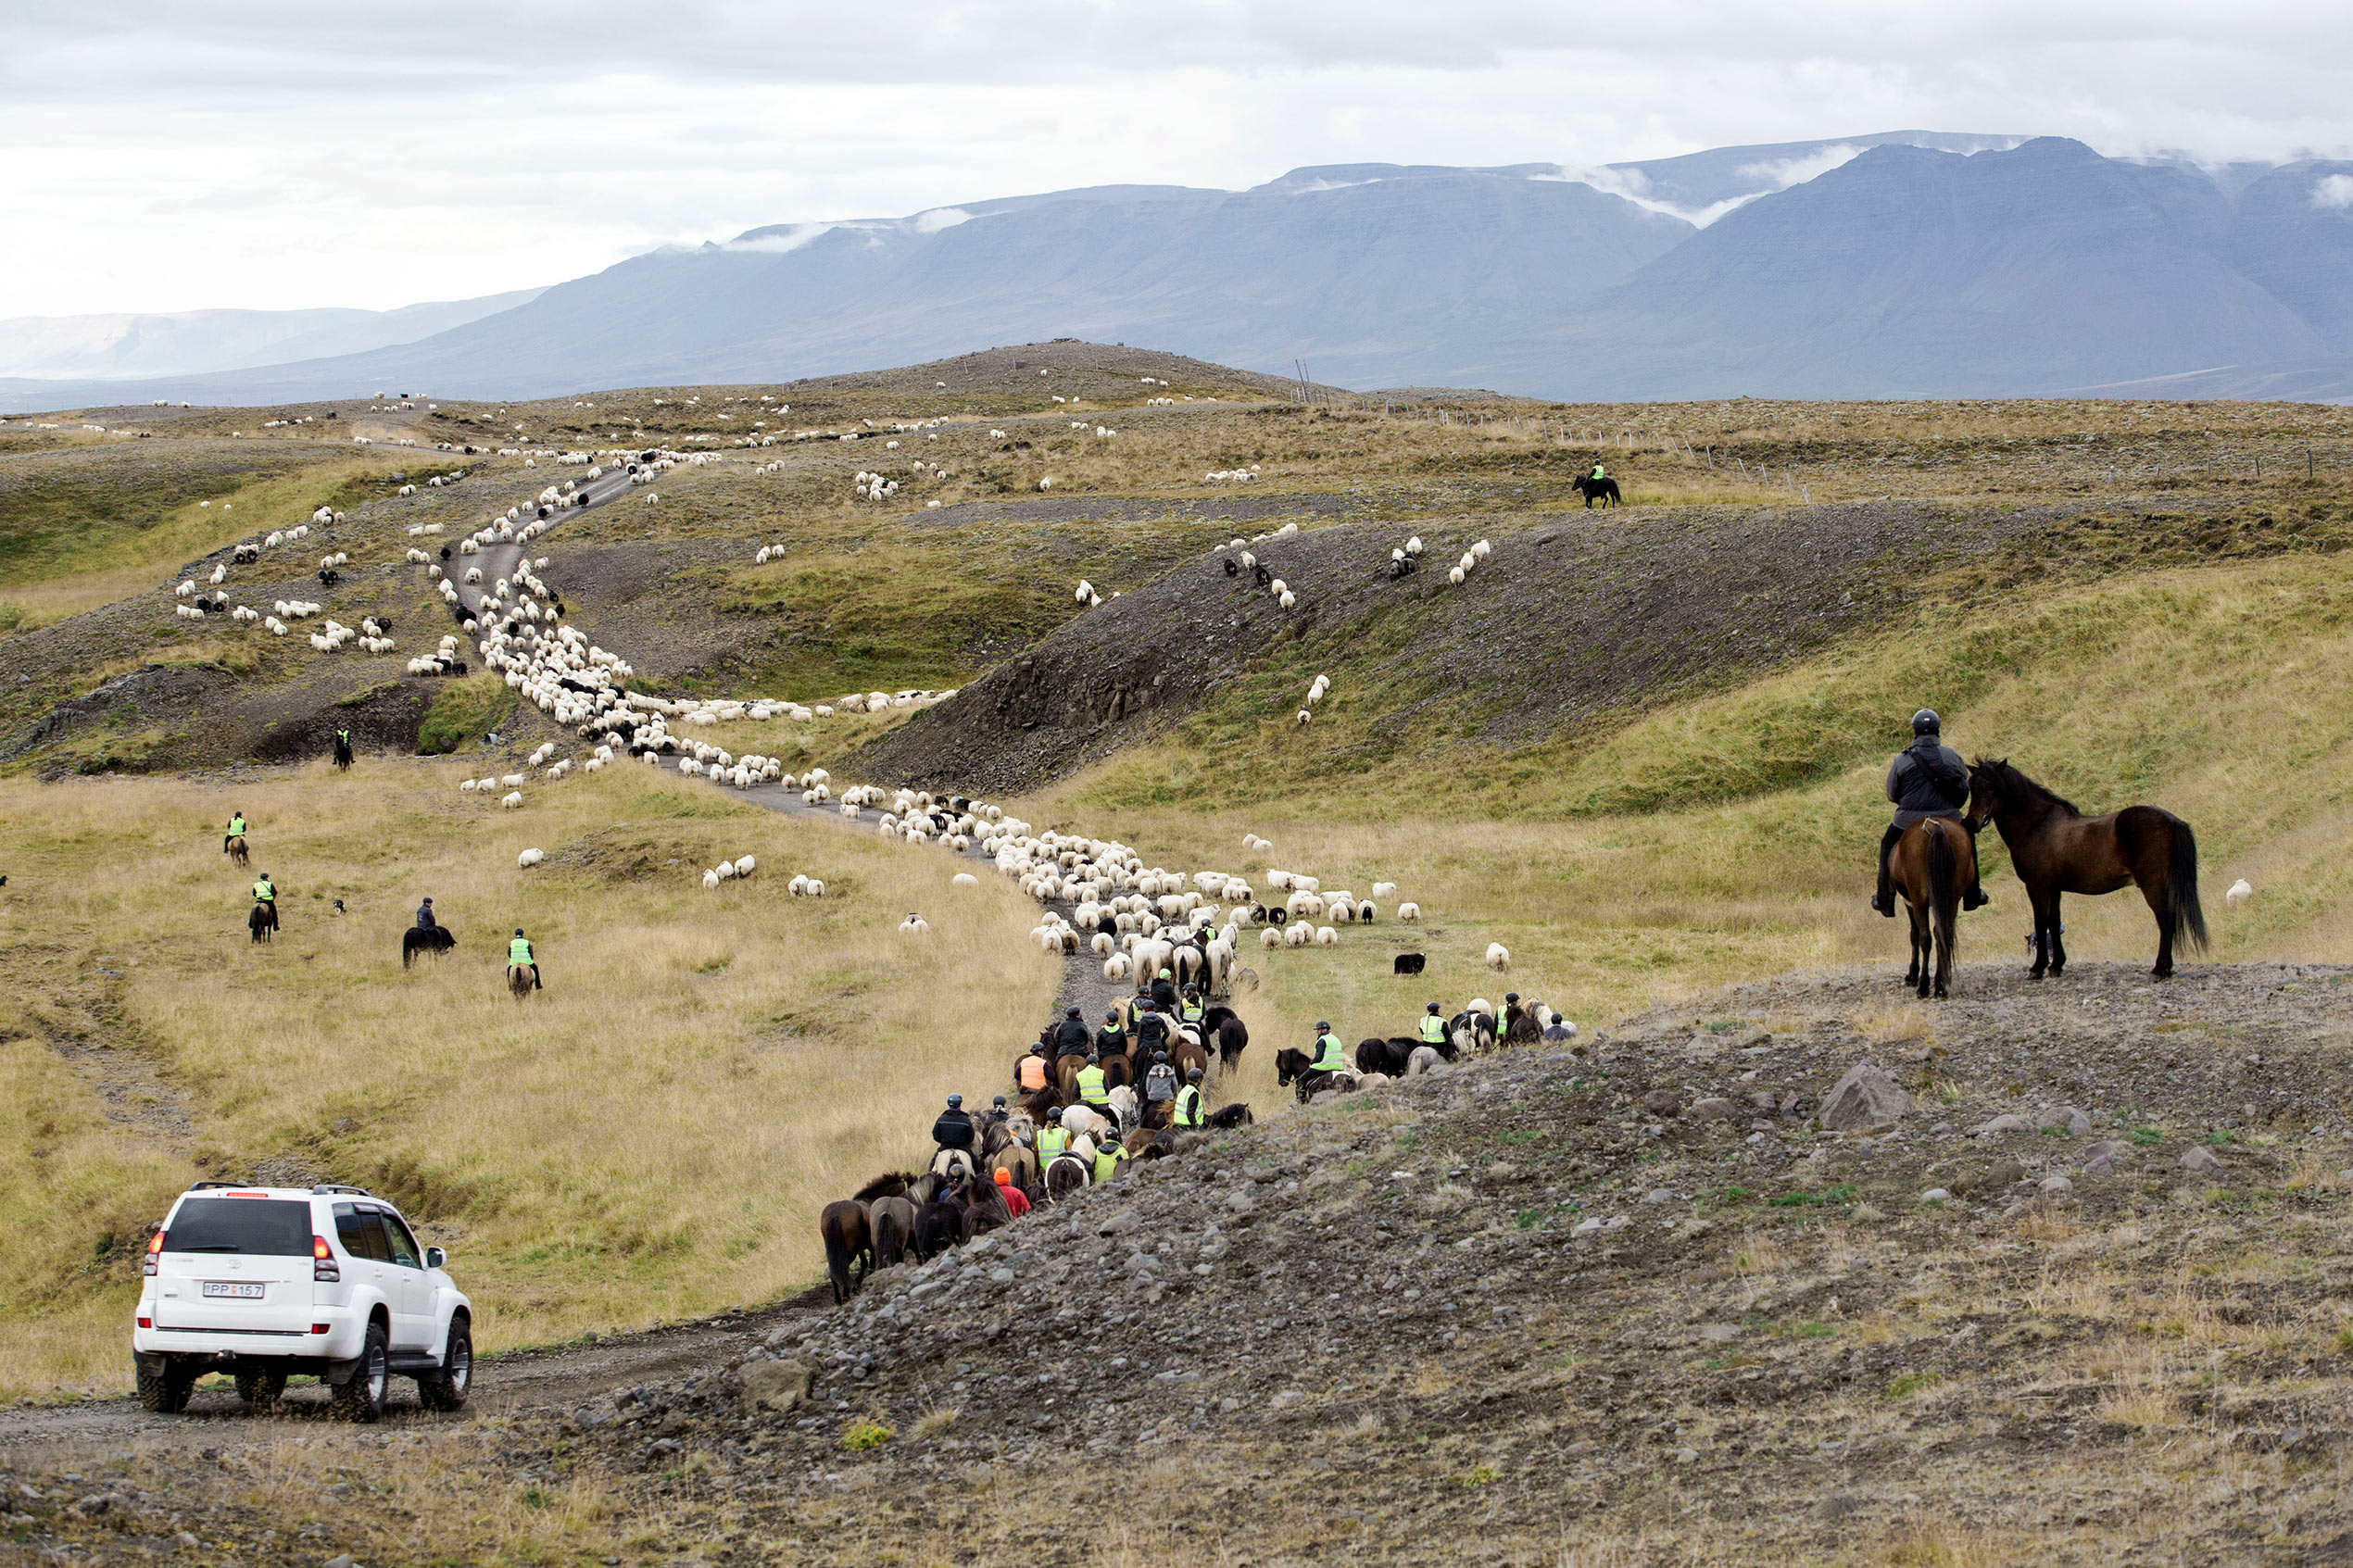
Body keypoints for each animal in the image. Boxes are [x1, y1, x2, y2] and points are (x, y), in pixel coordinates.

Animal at [1882, 818, 1976, 1001]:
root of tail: (1934, 826)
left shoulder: (1910, 902)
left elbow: (1915, 935)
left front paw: (1912, 976)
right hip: (1952, 899)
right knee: (1943, 934)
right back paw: (1941, 985)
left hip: (1919, 899)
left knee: (1926, 938)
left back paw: (1924, 986)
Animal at [1967, 761, 2202, 982]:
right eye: (1971, 787)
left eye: (1990, 786)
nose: (1971, 823)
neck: (2037, 826)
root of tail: (2173, 821)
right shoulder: (2054, 889)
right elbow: (2053, 922)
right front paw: (2056, 965)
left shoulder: (2037, 886)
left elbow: (2040, 922)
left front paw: (2037, 968)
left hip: (2152, 885)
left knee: (2165, 920)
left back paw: (2160, 969)